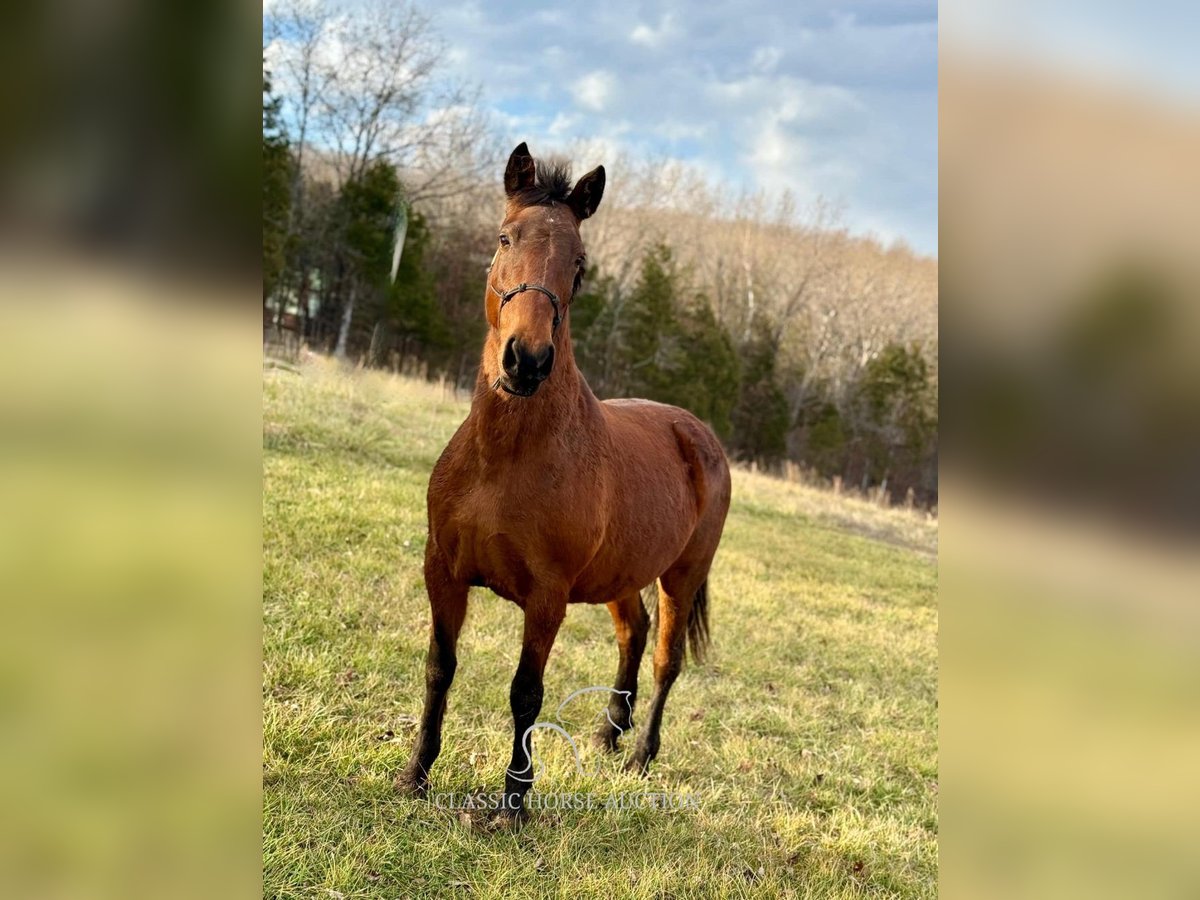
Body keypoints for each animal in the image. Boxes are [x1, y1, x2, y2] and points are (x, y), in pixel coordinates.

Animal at [393, 141, 729, 825]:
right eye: (504, 238)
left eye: (579, 264)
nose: (526, 360)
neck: (504, 458)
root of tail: (697, 433)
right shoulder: (442, 571)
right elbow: (440, 667)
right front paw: (415, 774)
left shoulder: (546, 598)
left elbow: (527, 693)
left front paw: (513, 803)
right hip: (622, 577)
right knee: (634, 634)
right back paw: (608, 733)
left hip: (681, 577)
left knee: (666, 659)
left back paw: (640, 754)